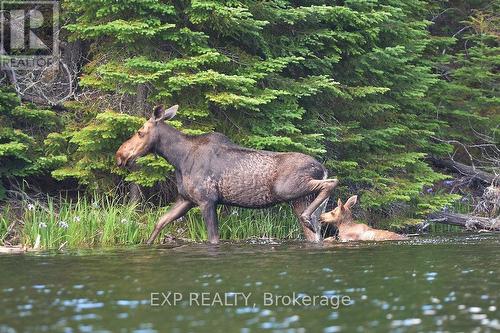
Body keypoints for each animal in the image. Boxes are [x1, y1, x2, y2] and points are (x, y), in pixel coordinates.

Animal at [115, 104, 338, 244]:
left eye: (140, 132)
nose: (120, 155)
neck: (178, 159)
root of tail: (322, 168)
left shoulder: (207, 200)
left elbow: (213, 238)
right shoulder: (186, 199)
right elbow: (160, 222)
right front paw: (147, 244)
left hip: (289, 189)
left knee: (331, 183)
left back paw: (308, 216)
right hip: (299, 200)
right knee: (314, 233)